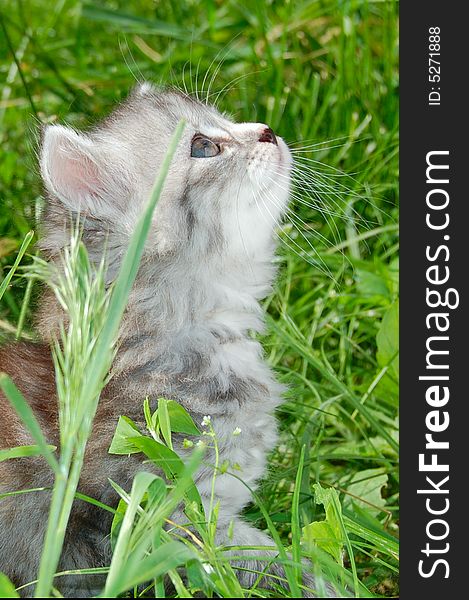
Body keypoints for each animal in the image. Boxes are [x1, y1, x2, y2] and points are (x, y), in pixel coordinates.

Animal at [0, 83, 328, 596]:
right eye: (204, 146)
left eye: (227, 119)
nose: (267, 131)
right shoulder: (166, 517)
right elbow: (277, 562)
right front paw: (332, 582)